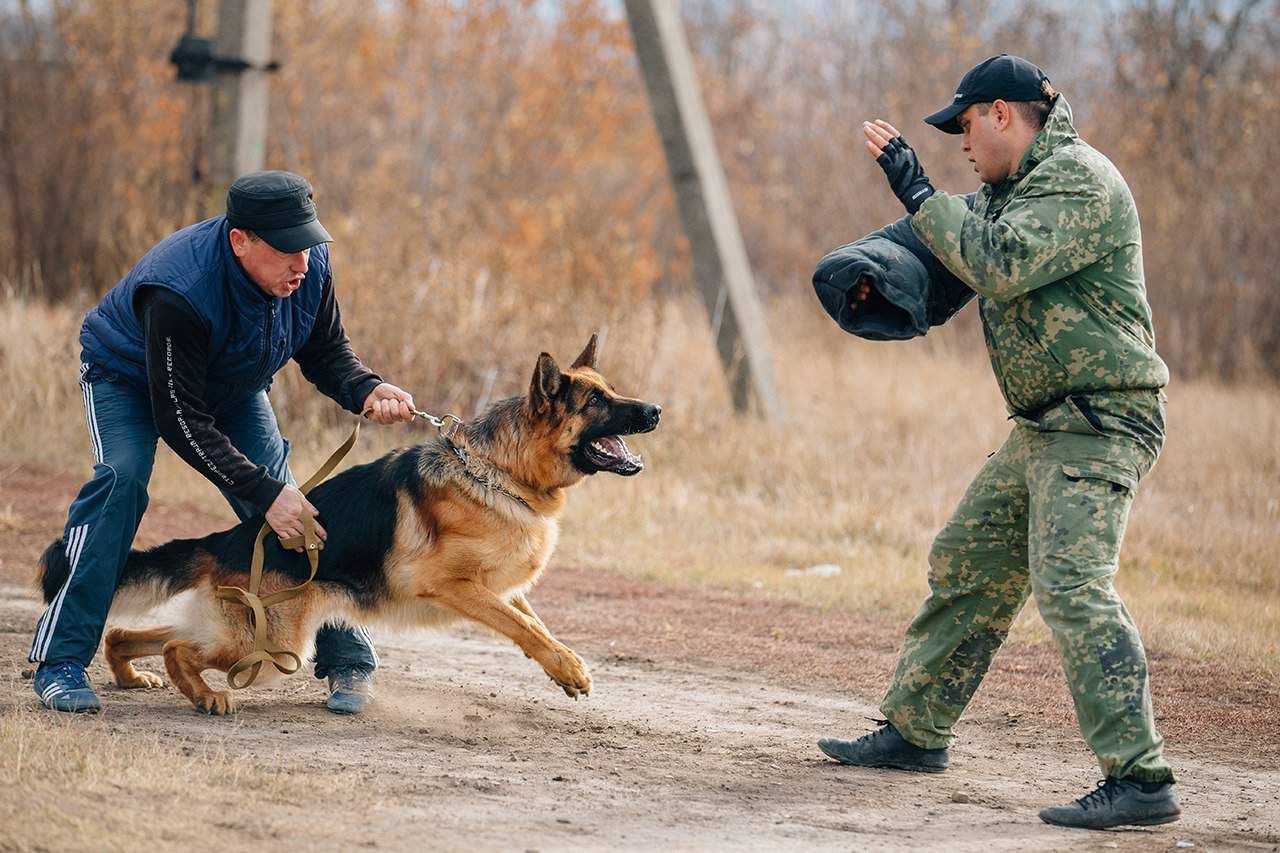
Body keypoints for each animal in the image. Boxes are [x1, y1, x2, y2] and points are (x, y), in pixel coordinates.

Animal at [37, 333, 660, 712]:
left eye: (612, 392)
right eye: (596, 403)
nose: (655, 410)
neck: (499, 470)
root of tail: (233, 536)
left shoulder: (503, 588)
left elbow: (536, 624)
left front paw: (565, 668)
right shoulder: (456, 586)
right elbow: (523, 628)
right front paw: (569, 667)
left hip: (257, 635)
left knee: (136, 634)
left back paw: (128, 674)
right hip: (270, 648)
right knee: (176, 649)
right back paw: (204, 695)